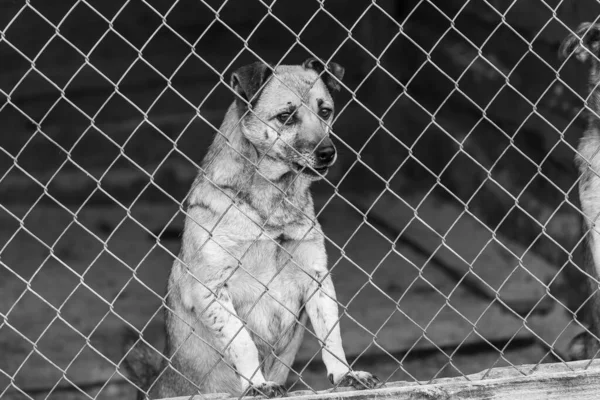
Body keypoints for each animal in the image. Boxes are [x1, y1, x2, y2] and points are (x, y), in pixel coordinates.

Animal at [120, 57, 380, 398]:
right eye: (285, 117)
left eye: (325, 111)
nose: (327, 153)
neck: (272, 203)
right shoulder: (213, 289)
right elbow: (242, 342)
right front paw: (257, 383)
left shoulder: (317, 277)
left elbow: (330, 333)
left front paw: (344, 374)